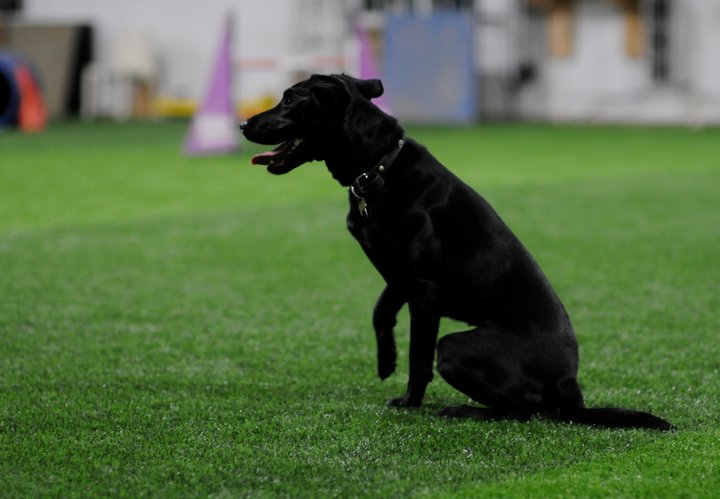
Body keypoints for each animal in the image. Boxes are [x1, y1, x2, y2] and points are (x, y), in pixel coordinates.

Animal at [242, 74, 676, 434]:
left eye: (289, 100)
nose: (243, 125)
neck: (378, 168)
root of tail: (571, 388)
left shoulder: (423, 291)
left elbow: (418, 357)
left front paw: (409, 401)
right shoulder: (400, 276)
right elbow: (380, 312)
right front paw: (386, 360)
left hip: (454, 347)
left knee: (524, 408)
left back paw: (464, 410)